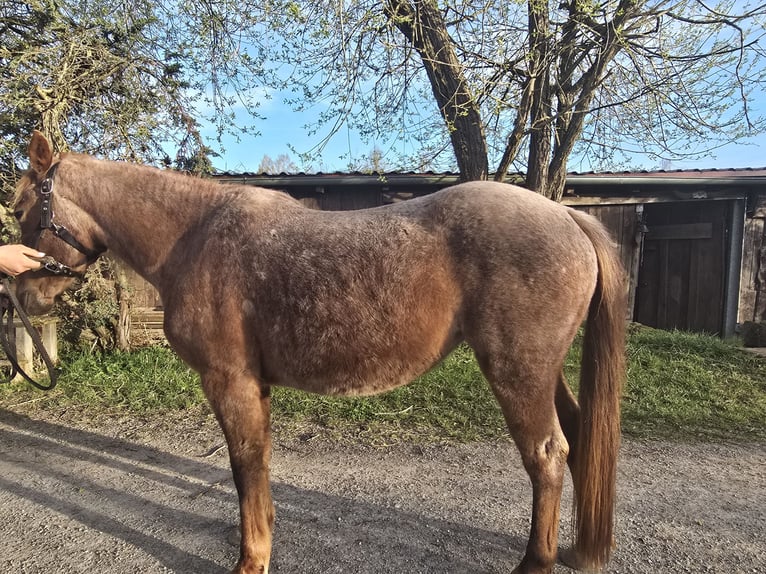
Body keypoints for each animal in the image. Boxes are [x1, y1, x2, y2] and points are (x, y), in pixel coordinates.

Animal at [12, 131, 625, 574]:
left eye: (22, 209)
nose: (23, 294)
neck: (194, 236)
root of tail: (566, 216)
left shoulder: (229, 380)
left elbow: (244, 464)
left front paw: (251, 559)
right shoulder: (253, 385)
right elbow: (257, 463)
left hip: (517, 370)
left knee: (547, 455)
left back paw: (536, 562)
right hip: (544, 371)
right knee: (578, 436)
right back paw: (577, 551)